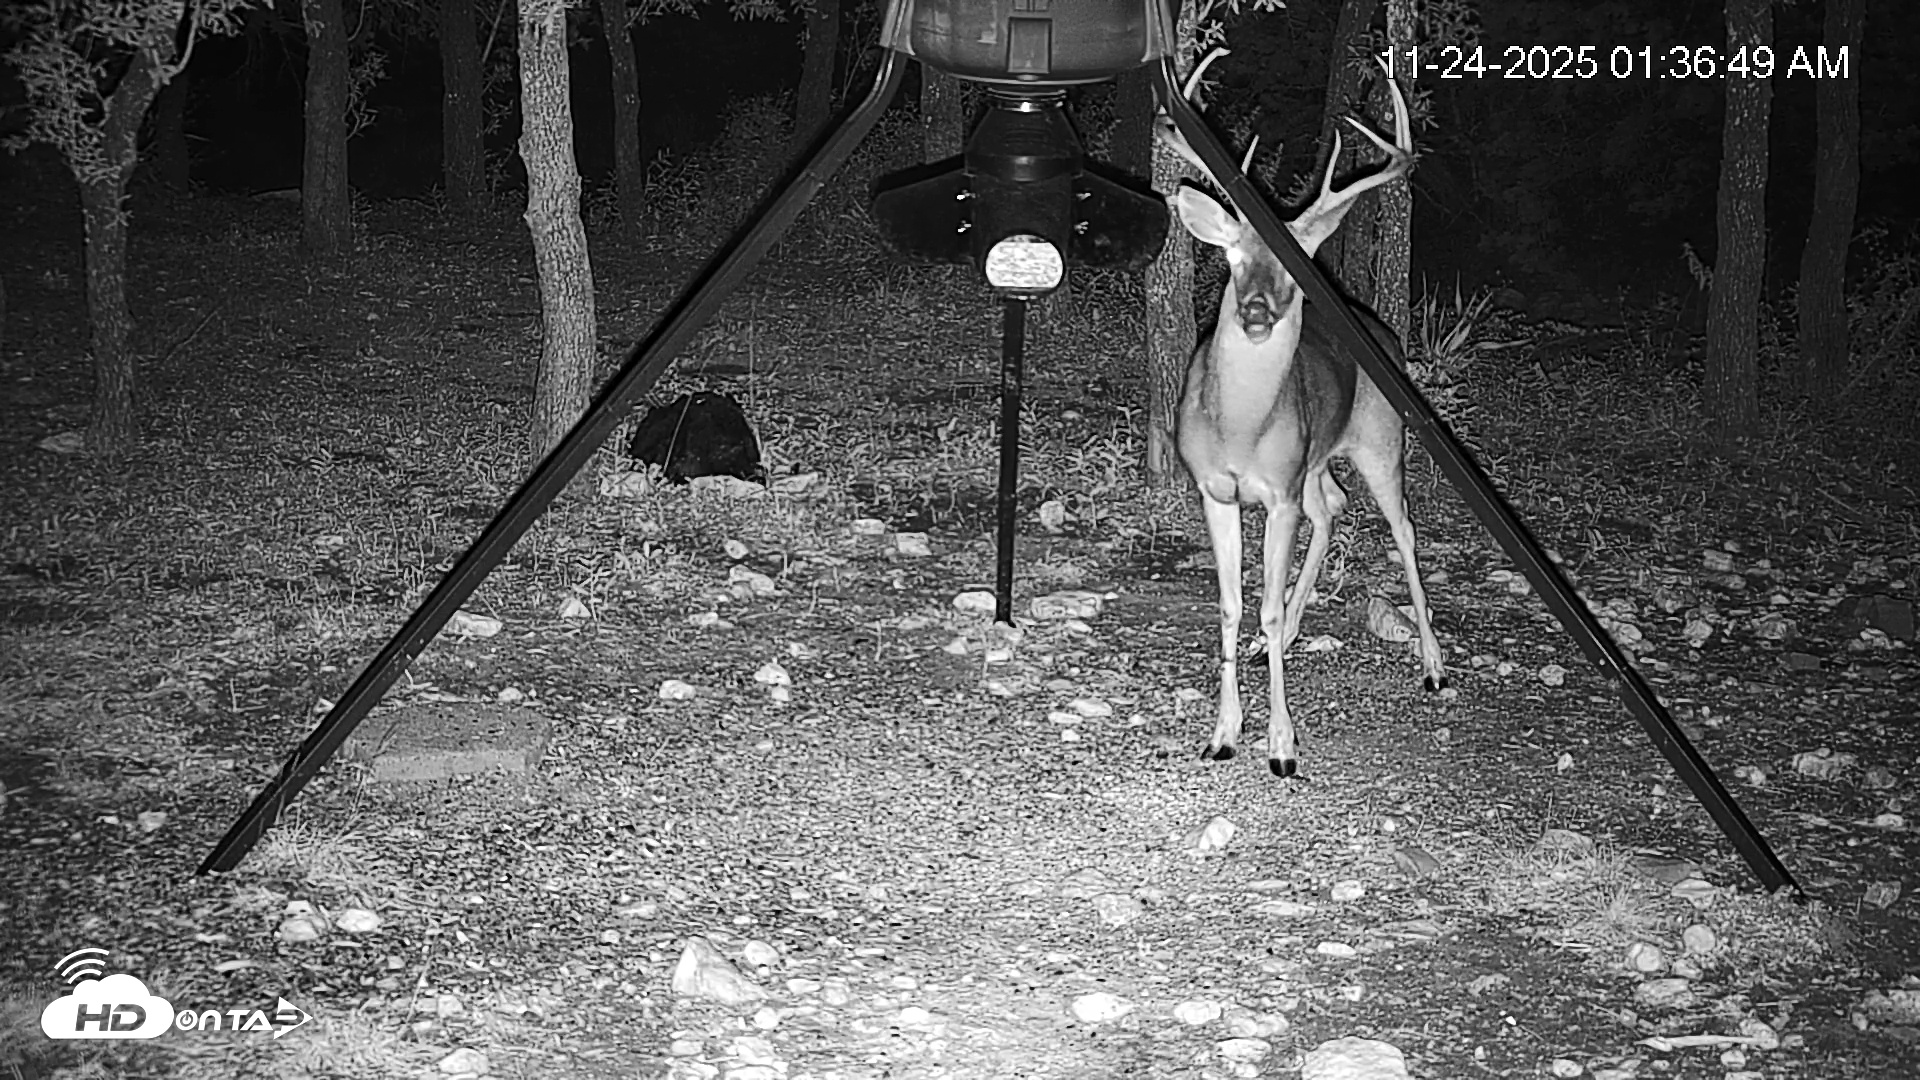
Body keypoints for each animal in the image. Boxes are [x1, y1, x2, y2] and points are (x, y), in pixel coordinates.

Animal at [1158, 57, 1447, 778]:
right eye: (1232, 255)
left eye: (1295, 263)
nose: (1256, 312)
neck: (1239, 428)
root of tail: (1383, 333)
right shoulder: (1216, 488)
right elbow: (1232, 606)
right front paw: (1223, 732)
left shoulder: (1278, 492)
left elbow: (1260, 604)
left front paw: (1282, 746)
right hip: (1318, 458)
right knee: (1334, 505)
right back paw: (1284, 639)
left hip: (1382, 441)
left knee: (1402, 530)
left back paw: (1433, 664)